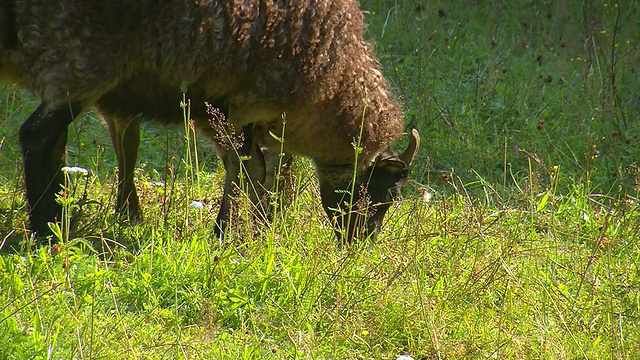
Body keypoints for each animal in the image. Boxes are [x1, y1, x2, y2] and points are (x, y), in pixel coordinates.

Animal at [0, 0, 420, 245]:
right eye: (384, 195)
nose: (358, 246)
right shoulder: (244, 101)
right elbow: (250, 168)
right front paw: (234, 234)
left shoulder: (201, 104)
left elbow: (130, 144)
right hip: (82, 52)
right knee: (38, 137)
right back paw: (47, 232)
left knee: (54, 140)